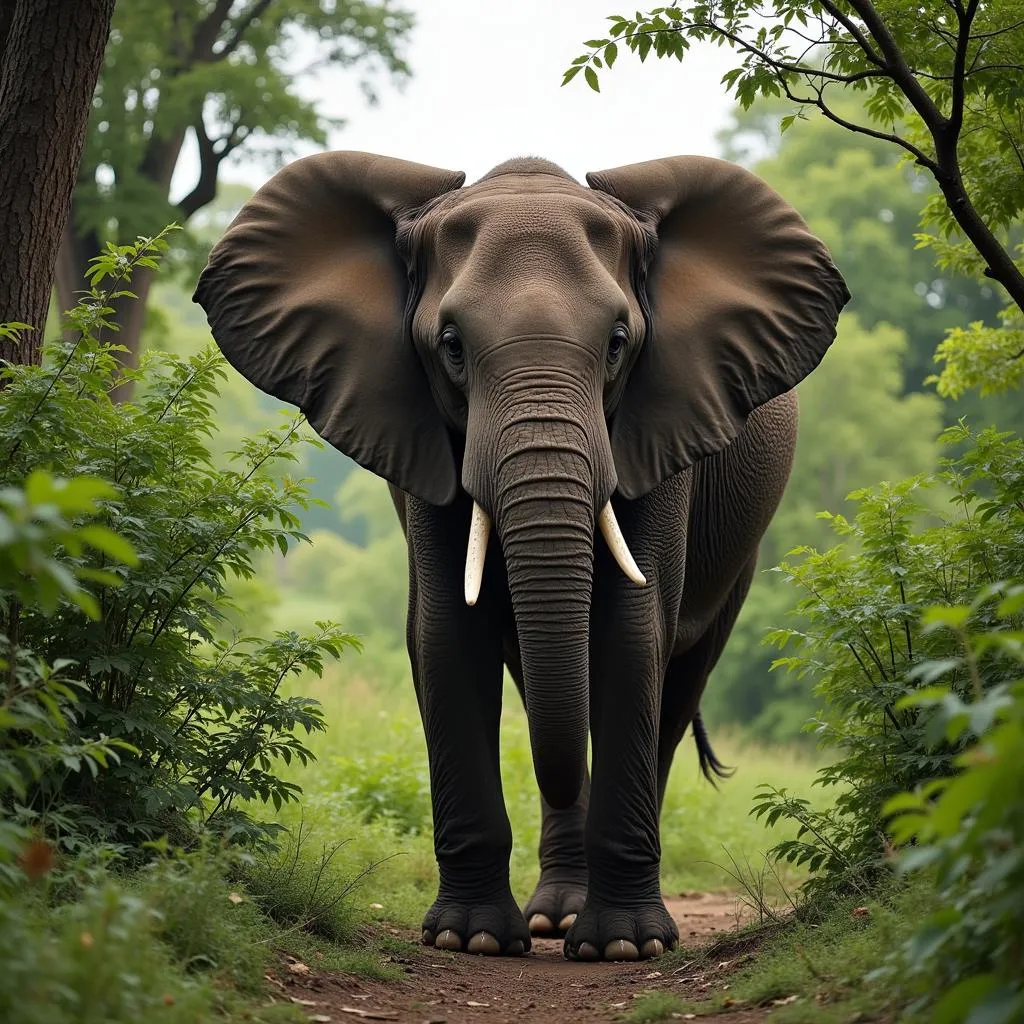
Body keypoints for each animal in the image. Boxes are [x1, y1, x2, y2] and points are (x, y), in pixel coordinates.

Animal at [192, 149, 847, 958]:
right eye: (451, 347)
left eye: (619, 343)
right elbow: (447, 635)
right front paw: (468, 939)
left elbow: (632, 635)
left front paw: (624, 947)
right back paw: (553, 919)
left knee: (674, 687)